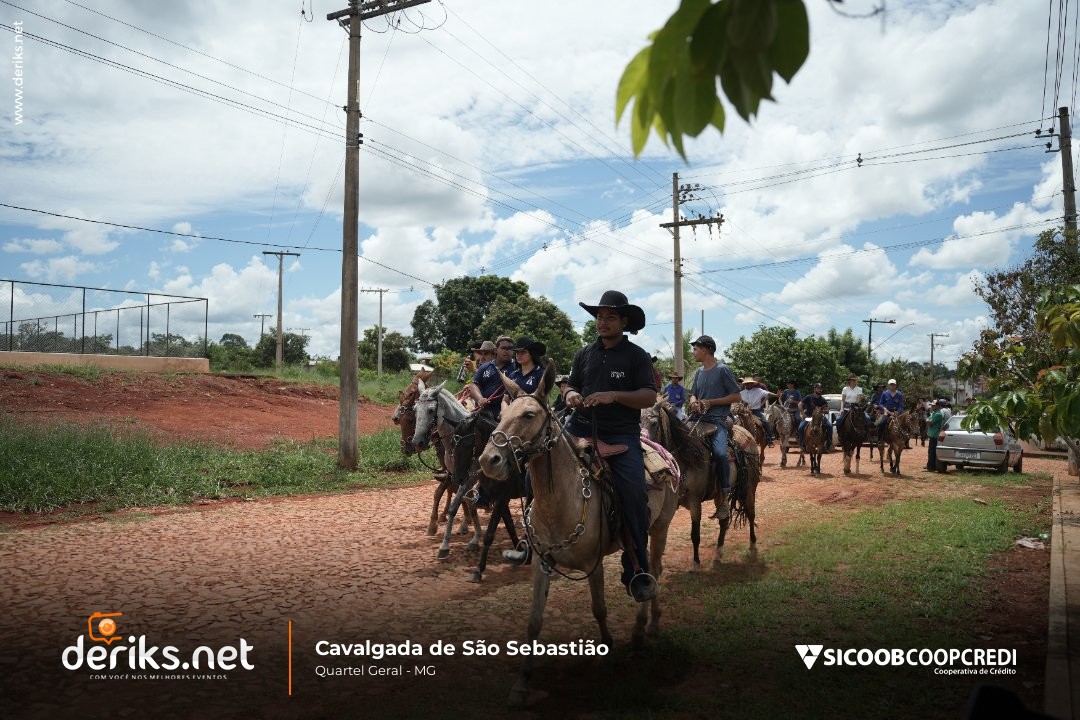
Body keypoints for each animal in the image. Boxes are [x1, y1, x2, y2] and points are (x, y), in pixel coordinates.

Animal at [393, 369, 460, 536]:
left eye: (411, 392)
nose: (395, 417)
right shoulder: (447, 467)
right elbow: (448, 489)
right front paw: (442, 515)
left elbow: (444, 489)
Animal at [412, 382, 525, 583]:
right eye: (415, 409)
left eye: (431, 409)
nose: (417, 442)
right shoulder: (457, 475)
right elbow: (466, 503)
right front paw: (473, 536)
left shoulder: (471, 477)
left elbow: (457, 506)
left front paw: (446, 546)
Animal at [479, 362, 678, 708]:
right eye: (501, 414)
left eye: (529, 415)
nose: (488, 460)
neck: (561, 501)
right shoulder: (542, 564)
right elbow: (534, 621)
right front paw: (521, 683)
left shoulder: (593, 565)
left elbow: (599, 609)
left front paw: (609, 660)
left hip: (659, 527)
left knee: (653, 569)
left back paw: (646, 627)